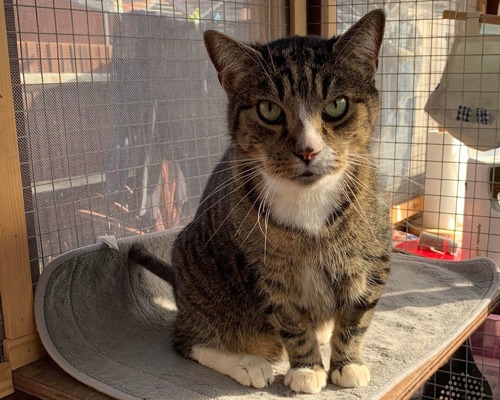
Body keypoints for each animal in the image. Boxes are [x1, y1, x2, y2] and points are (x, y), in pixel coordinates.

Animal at [129, 8, 390, 394]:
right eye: (269, 109)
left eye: (336, 105)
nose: (308, 150)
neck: (308, 199)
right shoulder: (267, 272)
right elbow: (292, 322)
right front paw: (307, 369)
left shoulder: (372, 259)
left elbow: (356, 317)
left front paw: (347, 364)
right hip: (200, 271)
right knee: (188, 340)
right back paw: (249, 363)